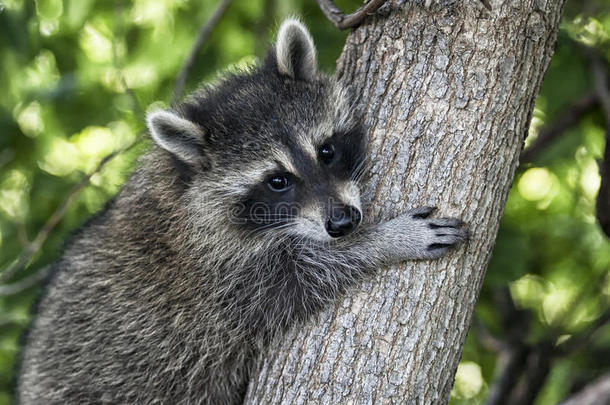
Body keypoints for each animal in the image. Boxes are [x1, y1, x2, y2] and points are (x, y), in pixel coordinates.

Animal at [17, 19, 466, 404]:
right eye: (277, 181)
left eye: (326, 151)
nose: (343, 222)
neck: (186, 187)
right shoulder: (215, 281)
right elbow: (302, 275)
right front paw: (385, 240)